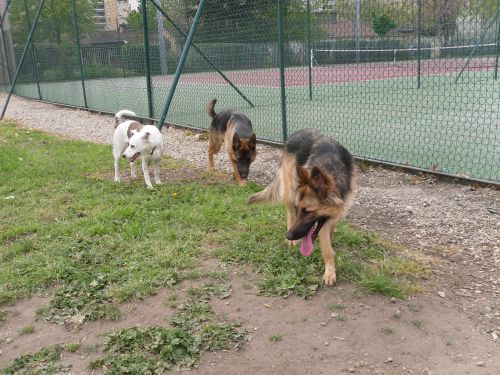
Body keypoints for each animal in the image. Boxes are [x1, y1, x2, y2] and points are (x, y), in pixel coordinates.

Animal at [248, 129, 354, 284]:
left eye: (308, 211)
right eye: (298, 209)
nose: (289, 235)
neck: (331, 168)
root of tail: (296, 133)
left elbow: (332, 227)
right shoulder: (321, 225)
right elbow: (327, 249)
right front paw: (330, 272)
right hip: (291, 192)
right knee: (289, 214)